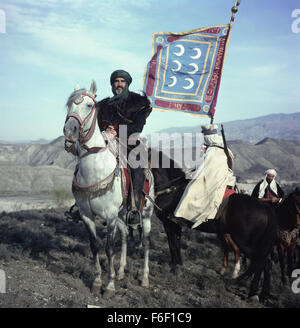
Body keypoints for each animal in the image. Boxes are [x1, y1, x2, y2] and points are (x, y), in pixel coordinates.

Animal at [62, 80, 154, 296]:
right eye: (69, 105)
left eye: (89, 105)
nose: (69, 131)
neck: (95, 168)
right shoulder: (87, 214)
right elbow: (95, 245)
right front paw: (97, 282)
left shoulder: (110, 215)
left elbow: (109, 248)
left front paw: (109, 286)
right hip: (122, 215)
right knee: (125, 236)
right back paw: (120, 271)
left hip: (145, 215)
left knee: (145, 243)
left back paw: (144, 278)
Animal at [150, 150, 278, 302]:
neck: (170, 189)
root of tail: (265, 208)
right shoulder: (175, 226)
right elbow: (176, 244)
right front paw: (178, 267)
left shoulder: (169, 223)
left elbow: (173, 245)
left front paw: (175, 269)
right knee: (265, 264)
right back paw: (261, 295)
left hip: (247, 243)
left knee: (261, 263)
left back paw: (252, 293)